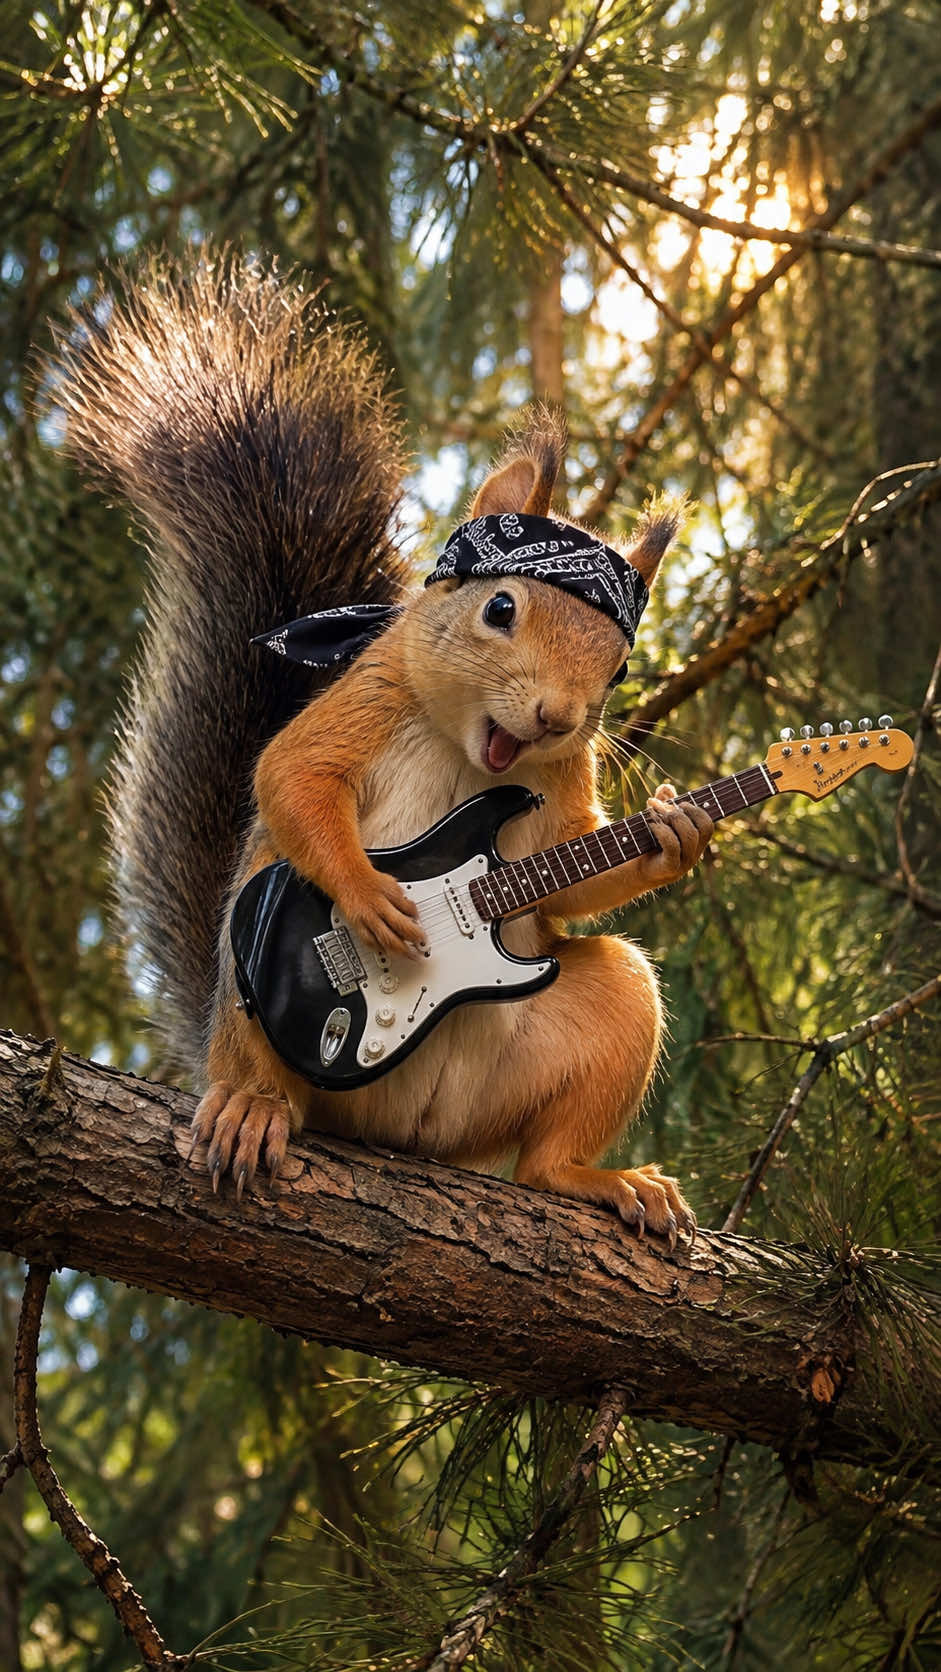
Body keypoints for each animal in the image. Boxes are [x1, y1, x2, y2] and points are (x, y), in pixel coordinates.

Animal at [55, 250, 713, 1246]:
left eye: (619, 667)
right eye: (501, 607)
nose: (557, 717)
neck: (466, 747)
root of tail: (400, 1135)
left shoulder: (565, 785)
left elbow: (576, 864)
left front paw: (676, 834)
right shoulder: (365, 698)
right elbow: (291, 776)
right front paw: (370, 899)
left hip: (584, 1028)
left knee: (550, 1139)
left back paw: (596, 1181)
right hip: (253, 992)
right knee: (273, 1079)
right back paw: (251, 1107)